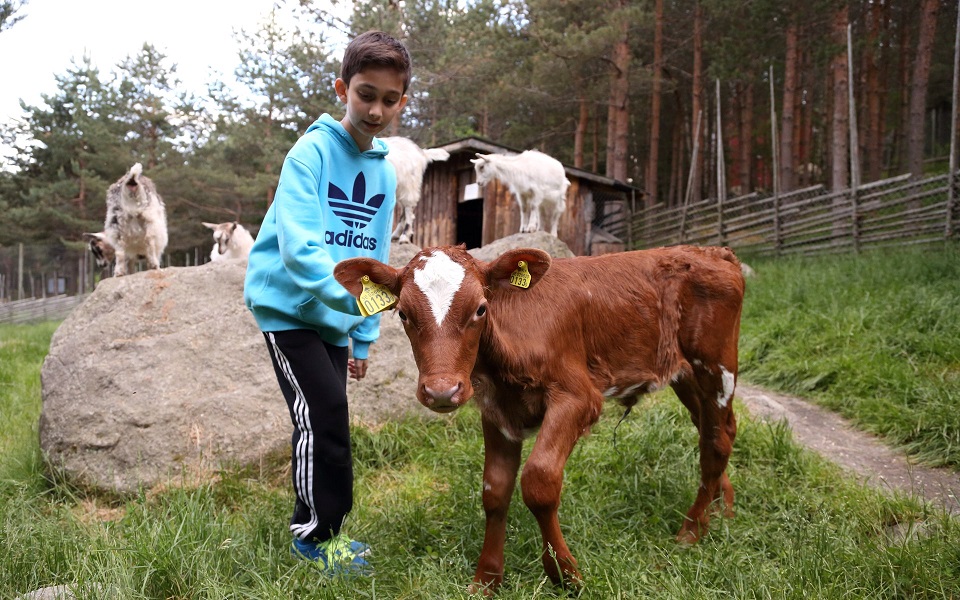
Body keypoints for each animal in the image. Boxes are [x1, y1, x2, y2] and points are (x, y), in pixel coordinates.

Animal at [334, 243, 748, 592]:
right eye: (403, 313)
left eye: (481, 308)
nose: (441, 391)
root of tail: (714, 251)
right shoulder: (495, 409)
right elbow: (495, 489)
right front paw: (486, 580)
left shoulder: (579, 396)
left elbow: (539, 480)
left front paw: (565, 574)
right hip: (685, 374)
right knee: (711, 431)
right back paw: (719, 510)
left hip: (716, 363)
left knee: (718, 439)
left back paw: (691, 531)